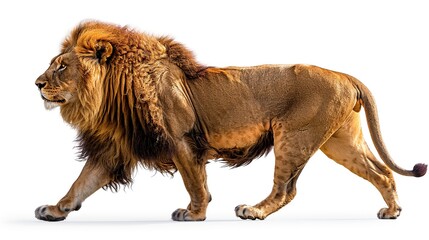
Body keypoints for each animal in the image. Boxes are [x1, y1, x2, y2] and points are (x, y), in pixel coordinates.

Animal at [34, 20, 424, 221]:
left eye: (61, 67)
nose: (36, 83)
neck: (111, 94)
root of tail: (345, 75)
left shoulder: (182, 141)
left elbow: (194, 183)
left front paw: (194, 214)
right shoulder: (114, 148)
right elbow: (81, 183)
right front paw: (55, 209)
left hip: (294, 136)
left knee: (286, 189)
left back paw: (253, 210)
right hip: (340, 142)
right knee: (381, 172)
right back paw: (393, 211)